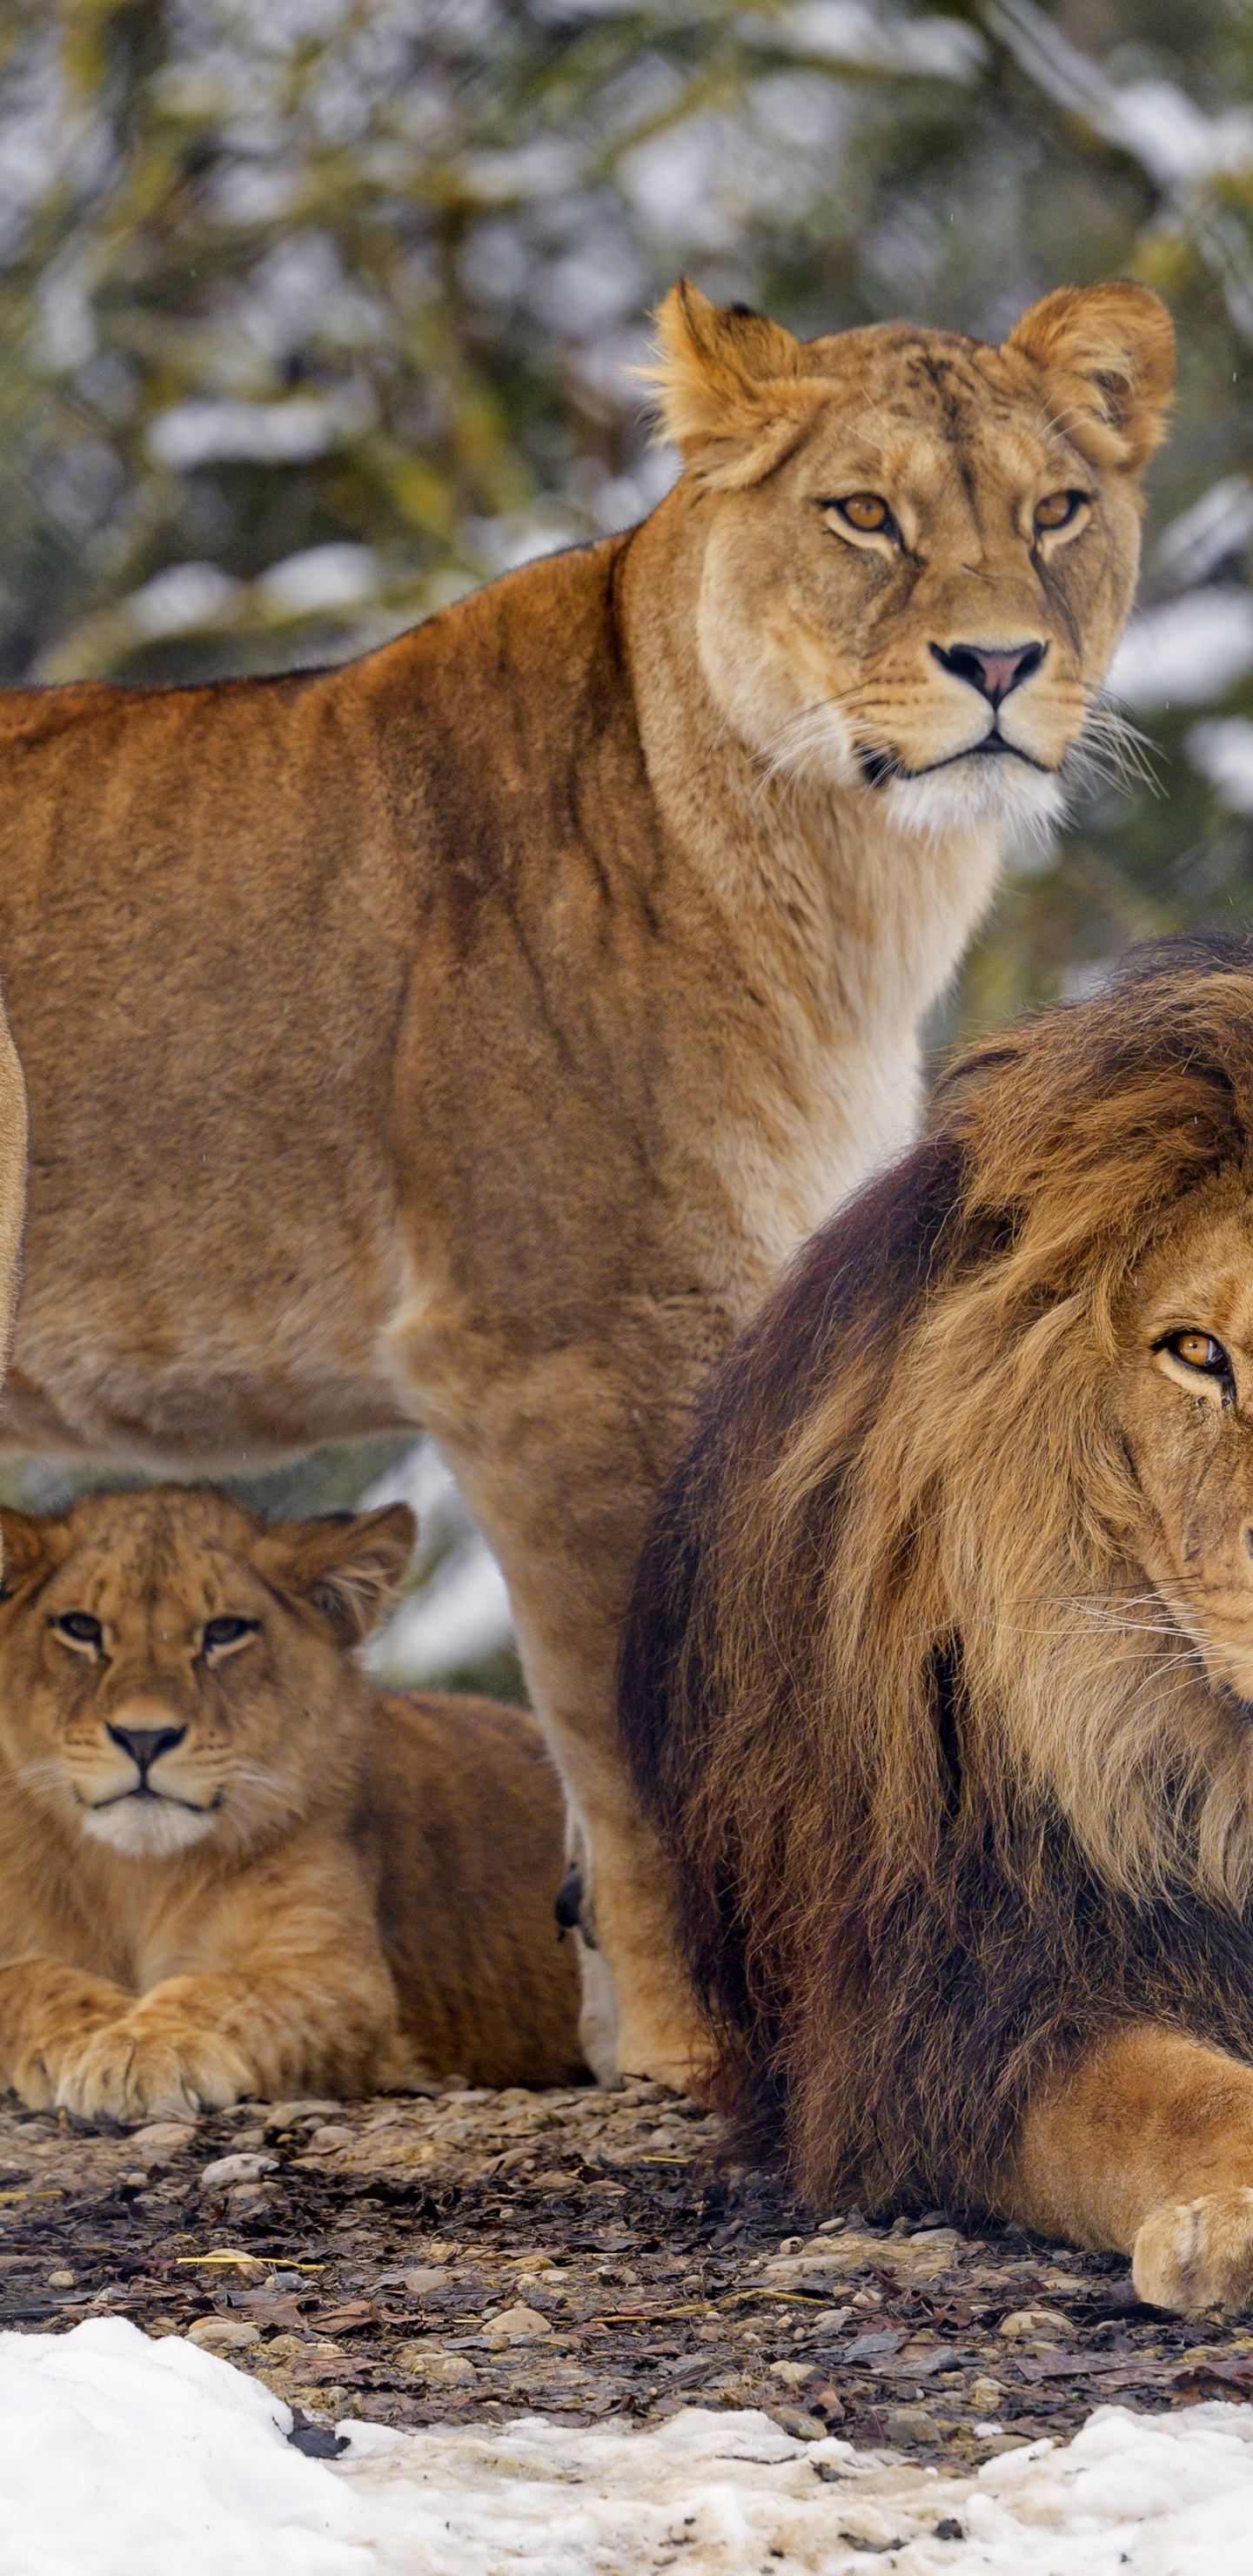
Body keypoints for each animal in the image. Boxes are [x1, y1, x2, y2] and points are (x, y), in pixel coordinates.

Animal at [0, 1486, 583, 2119]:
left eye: (225, 1631)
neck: (136, 1875)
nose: (145, 1738)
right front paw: (90, 2031)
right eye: (81, 1627)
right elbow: (25, 1978)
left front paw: (143, 2045)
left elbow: (230, 1993)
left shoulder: (335, 1971)